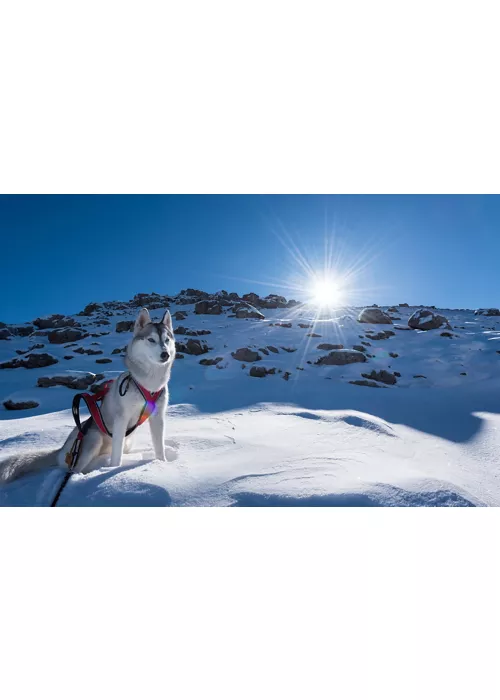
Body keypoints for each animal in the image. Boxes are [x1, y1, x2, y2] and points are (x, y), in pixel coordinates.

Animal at [0, 308, 176, 484]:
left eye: (167, 340)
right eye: (151, 340)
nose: (165, 354)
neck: (149, 384)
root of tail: (60, 450)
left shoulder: (158, 417)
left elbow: (159, 446)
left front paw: (161, 464)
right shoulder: (121, 419)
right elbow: (116, 457)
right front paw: (114, 470)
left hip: (127, 442)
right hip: (93, 440)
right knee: (75, 469)